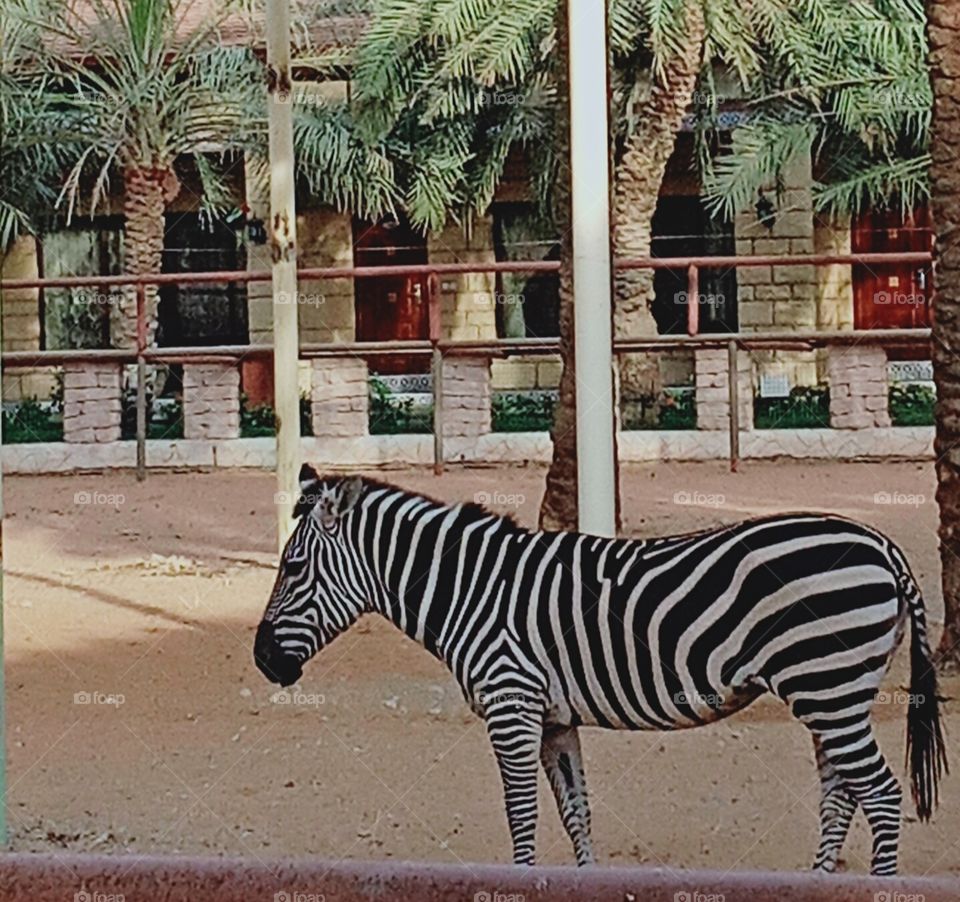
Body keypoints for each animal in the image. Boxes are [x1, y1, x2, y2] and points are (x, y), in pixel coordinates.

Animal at [254, 465, 948, 875]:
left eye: (292, 568)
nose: (262, 660)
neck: (472, 590)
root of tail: (880, 543)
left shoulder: (511, 703)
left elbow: (522, 812)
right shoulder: (553, 717)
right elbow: (575, 812)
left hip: (828, 687)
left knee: (881, 796)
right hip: (831, 694)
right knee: (842, 794)